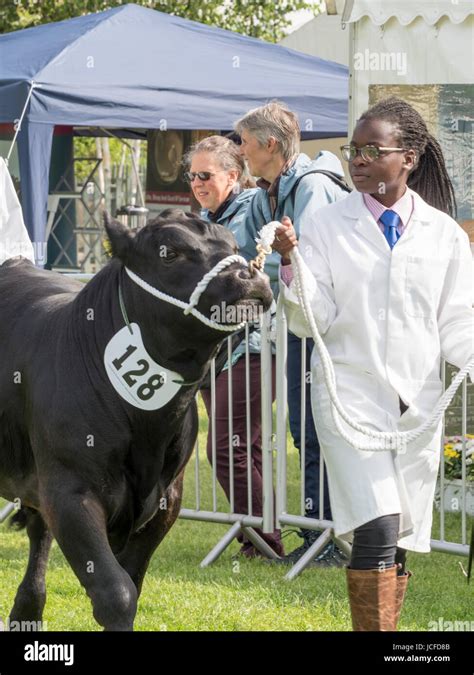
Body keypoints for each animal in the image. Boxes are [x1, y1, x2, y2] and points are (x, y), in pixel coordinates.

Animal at [0, 210, 272, 628]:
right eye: (169, 252)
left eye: (232, 243)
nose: (249, 275)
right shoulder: (71, 491)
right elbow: (117, 593)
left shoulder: (166, 498)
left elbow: (132, 580)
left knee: (38, 532)